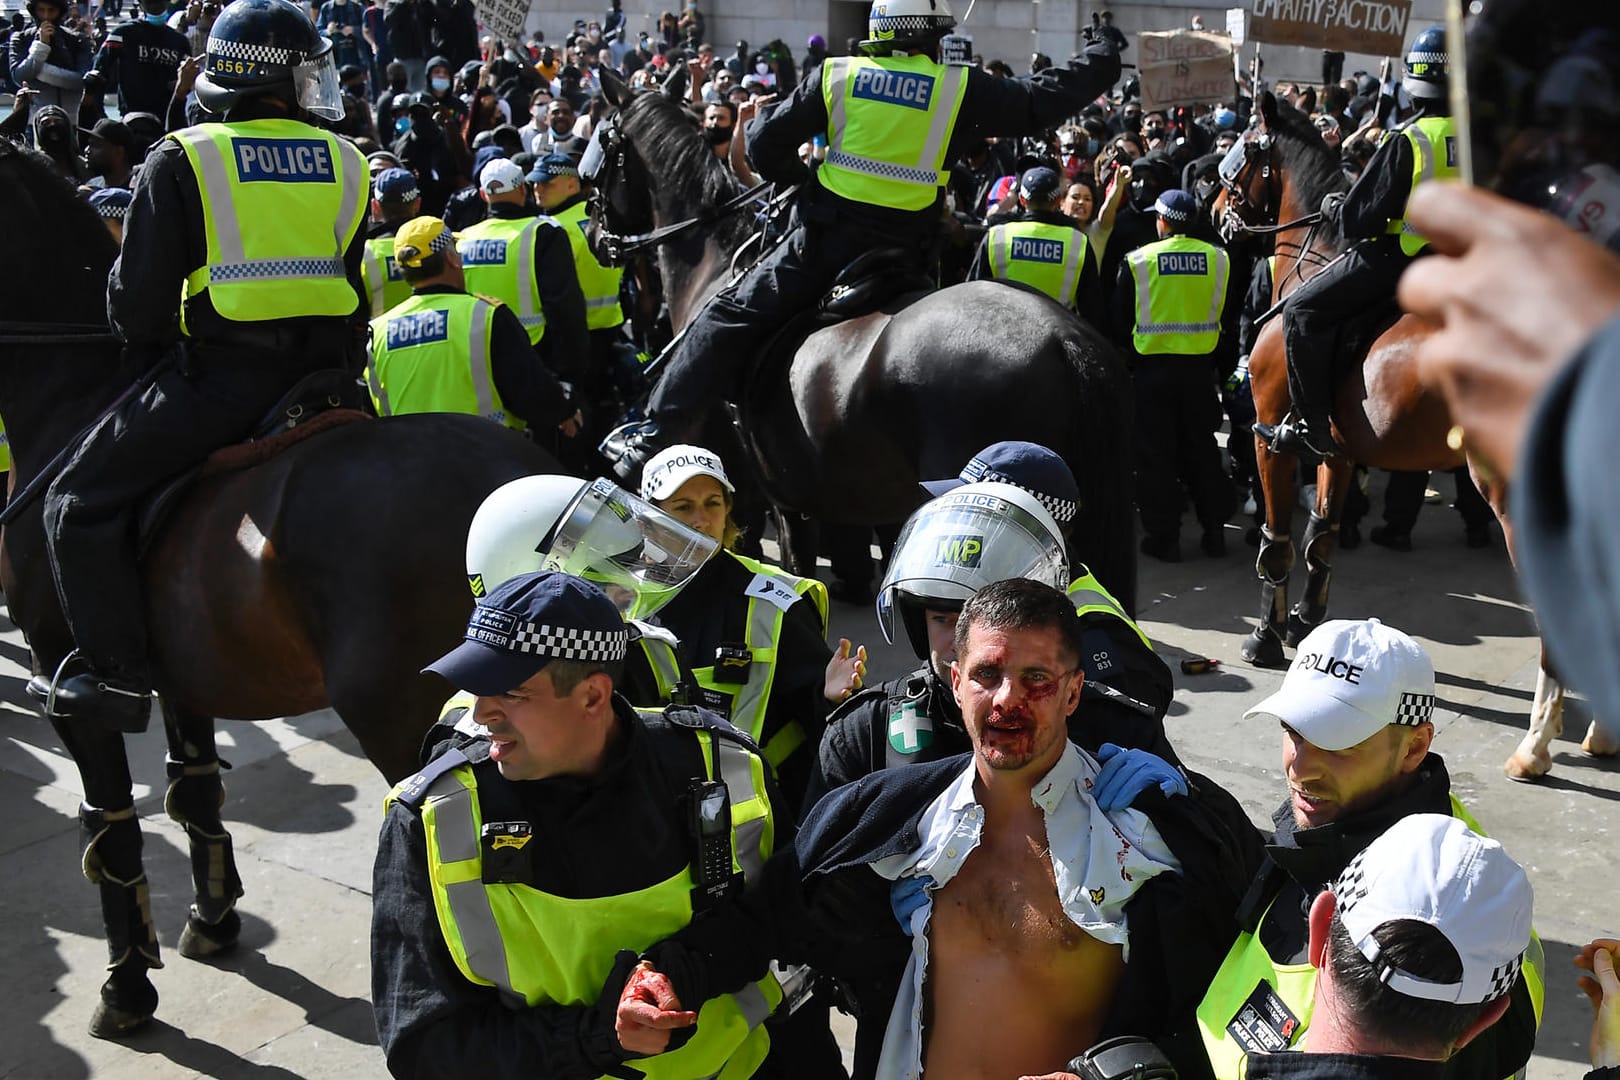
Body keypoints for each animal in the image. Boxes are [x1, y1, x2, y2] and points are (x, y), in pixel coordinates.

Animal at [0, 137, 570, 1036]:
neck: (76, 395)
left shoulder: (69, 681)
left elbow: (114, 828)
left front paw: (126, 987)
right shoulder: (179, 674)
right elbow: (194, 792)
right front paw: (211, 918)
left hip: (412, 713)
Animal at [1211, 95, 1613, 777]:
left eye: (1240, 154)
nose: (1215, 212)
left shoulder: (1272, 436)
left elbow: (1279, 542)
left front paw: (1266, 636)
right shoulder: (1338, 450)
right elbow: (1322, 538)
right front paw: (1306, 624)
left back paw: (1535, 745)